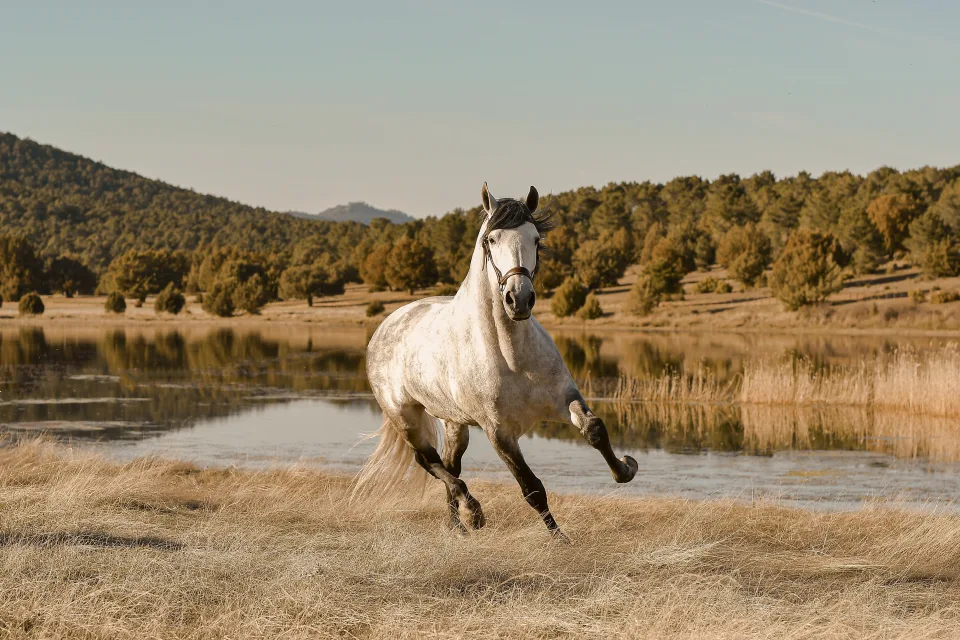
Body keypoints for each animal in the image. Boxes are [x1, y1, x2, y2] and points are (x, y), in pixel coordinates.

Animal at [355, 182, 638, 538]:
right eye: (491, 240)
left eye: (536, 238)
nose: (519, 299)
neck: (511, 356)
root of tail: (385, 326)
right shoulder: (499, 433)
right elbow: (532, 489)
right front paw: (561, 541)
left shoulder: (563, 399)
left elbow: (595, 429)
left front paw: (625, 468)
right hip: (405, 417)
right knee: (429, 461)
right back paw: (472, 513)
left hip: (455, 423)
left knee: (449, 464)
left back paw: (458, 526)